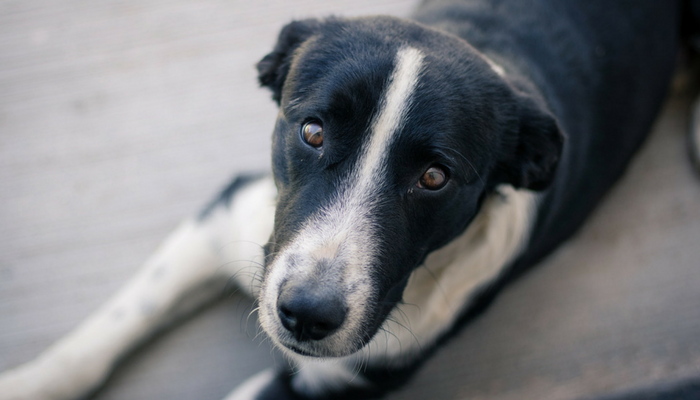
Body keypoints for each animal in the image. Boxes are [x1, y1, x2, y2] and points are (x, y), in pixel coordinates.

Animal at [1, 0, 700, 400]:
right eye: (312, 131)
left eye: (435, 177)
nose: (306, 316)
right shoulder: (225, 219)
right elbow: (108, 329)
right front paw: (28, 383)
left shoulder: (334, 386)